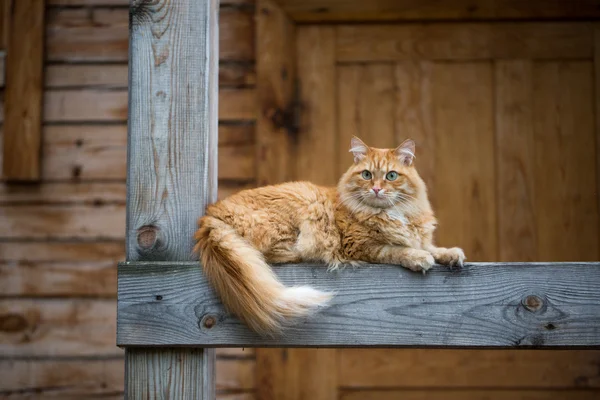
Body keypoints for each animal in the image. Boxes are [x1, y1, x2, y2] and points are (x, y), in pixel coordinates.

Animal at [195, 137, 466, 334]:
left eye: (391, 176)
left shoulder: (418, 237)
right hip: (303, 207)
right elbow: (397, 250)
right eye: (367, 174)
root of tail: (210, 214)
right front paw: (418, 259)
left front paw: (451, 254)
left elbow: (432, 247)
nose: (376, 189)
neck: (391, 213)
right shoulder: (361, 246)